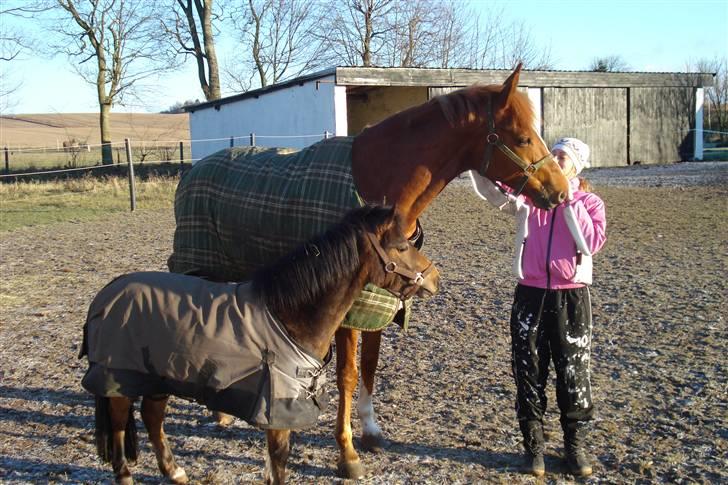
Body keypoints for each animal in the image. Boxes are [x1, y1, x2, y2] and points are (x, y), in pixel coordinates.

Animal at [169, 63, 568, 476]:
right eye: (523, 138)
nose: (561, 191)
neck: (380, 184)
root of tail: (192, 173)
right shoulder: (346, 310)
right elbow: (347, 375)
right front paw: (347, 453)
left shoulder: (380, 299)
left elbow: (371, 367)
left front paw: (370, 431)